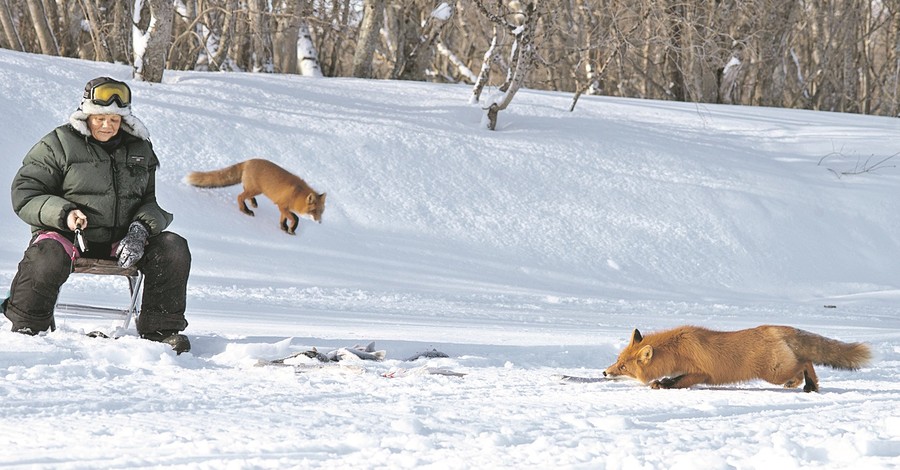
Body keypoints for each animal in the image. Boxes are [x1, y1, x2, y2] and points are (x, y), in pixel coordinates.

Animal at [185, 160, 326, 235]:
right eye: (313, 211)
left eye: (321, 212)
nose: (320, 222)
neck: (297, 194)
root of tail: (248, 161)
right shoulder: (282, 206)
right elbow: (295, 218)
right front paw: (291, 228)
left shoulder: (283, 208)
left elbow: (283, 220)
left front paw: (284, 228)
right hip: (256, 190)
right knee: (239, 196)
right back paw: (245, 210)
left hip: (252, 189)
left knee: (244, 192)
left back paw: (252, 203)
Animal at [604, 324, 872, 392]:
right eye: (617, 360)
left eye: (623, 366)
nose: (605, 372)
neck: (677, 349)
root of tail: (776, 328)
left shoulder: (701, 372)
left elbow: (678, 381)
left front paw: (663, 384)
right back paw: (803, 385)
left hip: (774, 372)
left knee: (806, 362)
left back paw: (810, 385)